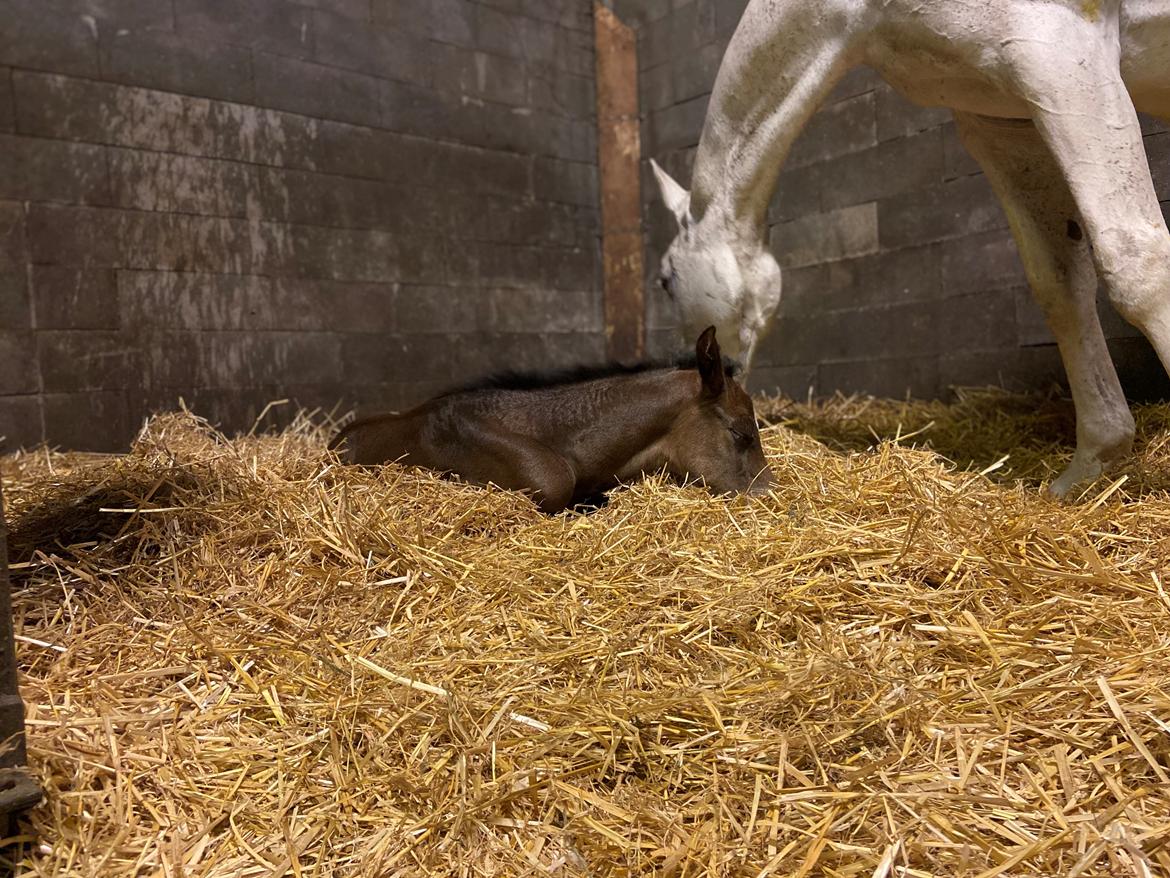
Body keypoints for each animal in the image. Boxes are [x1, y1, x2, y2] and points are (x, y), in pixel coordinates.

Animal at [655, 0, 1165, 496]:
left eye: (664, 280)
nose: (688, 365)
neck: (864, 12)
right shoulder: (1002, 119)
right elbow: (1061, 287)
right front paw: (1089, 468)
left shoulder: (1059, 51)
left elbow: (1138, 267)